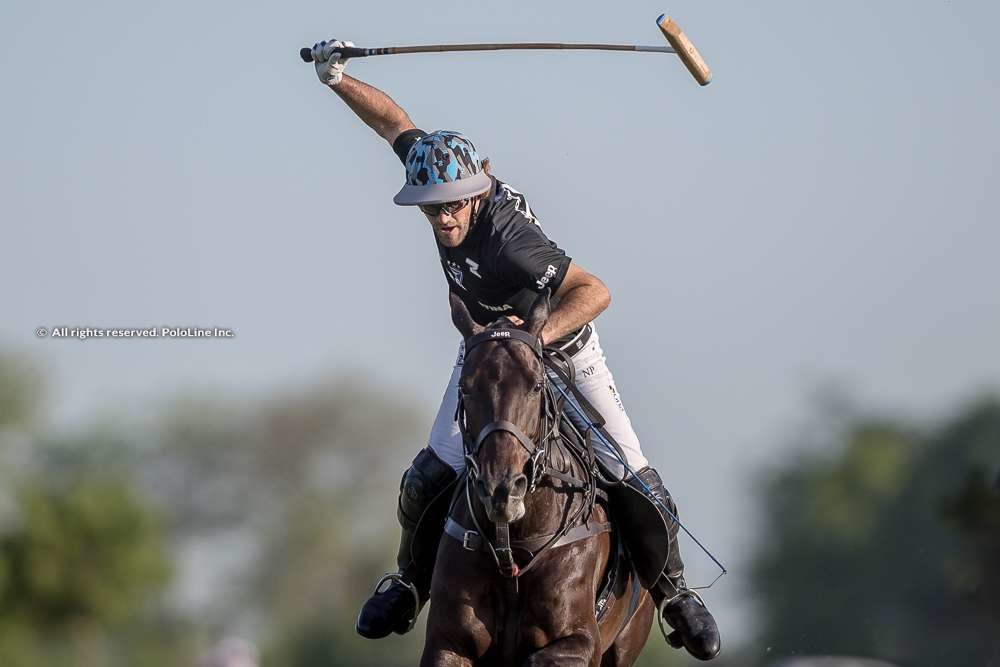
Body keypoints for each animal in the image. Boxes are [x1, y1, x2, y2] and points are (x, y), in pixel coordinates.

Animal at [422, 296, 656, 667]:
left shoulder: (579, 640)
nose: (501, 490)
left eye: (535, 385)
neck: (513, 544)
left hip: (625, 644)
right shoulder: (448, 643)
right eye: (465, 387)